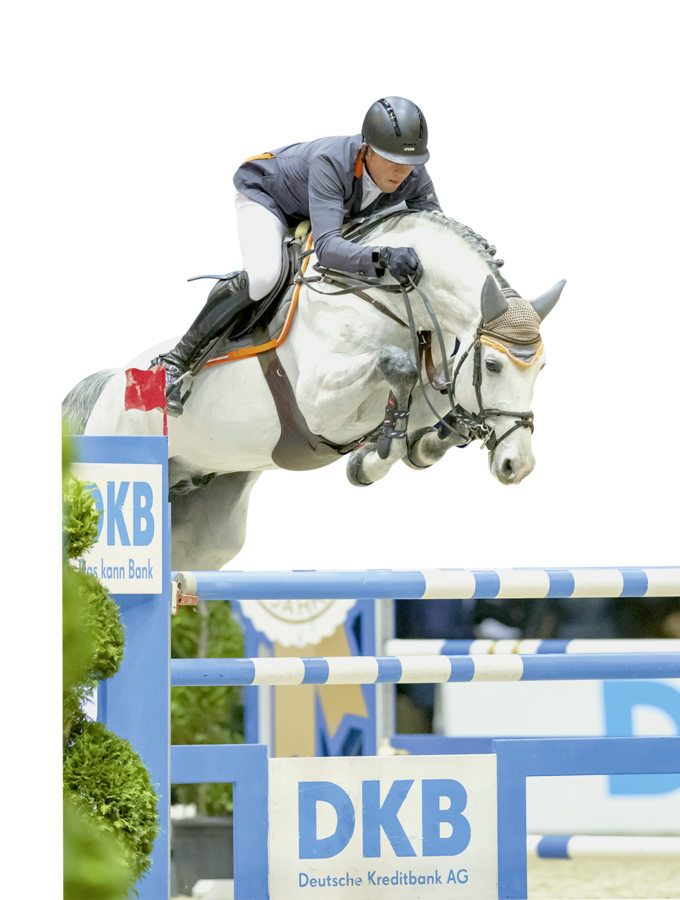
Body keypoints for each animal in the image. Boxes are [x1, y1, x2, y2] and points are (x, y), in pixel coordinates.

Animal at [61, 210, 568, 570]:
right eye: (492, 365)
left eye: (541, 368)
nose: (518, 466)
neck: (388, 300)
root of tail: (111, 382)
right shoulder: (319, 404)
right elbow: (396, 366)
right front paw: (380, 452)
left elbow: (427, 408)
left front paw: (408, 447)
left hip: (206, 528)